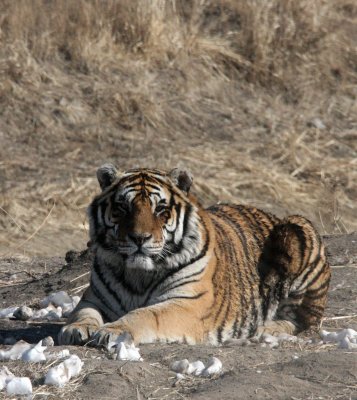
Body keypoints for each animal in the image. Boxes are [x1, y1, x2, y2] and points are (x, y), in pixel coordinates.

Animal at [57, 164, 328, 346]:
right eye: (122, 207)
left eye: (160, 209)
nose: (139, 238)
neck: (138, 274)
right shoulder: (94, 298)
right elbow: (82, 313)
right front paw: (75, 329)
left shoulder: (187, 303)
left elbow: (144, 314)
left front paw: (112, 330)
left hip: (297, 225)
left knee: (304, 321)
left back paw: (265, 329)